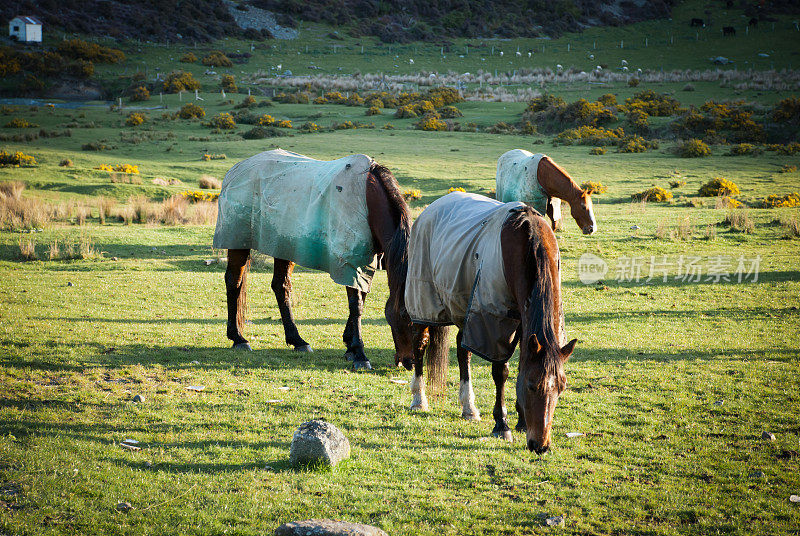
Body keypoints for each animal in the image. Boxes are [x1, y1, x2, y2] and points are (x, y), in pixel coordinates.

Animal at [212, 149, 412, 370]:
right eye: (405, 316)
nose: (409, 362)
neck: (367, 198)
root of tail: (236, 169)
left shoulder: (366, 262)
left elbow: (361, 299)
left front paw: (349, 346)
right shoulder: (350, 261)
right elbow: (356, 305)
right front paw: (359, 353)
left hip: (284, 246)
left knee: (280, 286)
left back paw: (297, 340)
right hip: (237, 242)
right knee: (234, 282)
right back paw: (238, 338)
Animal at [406, 193, 576, 452]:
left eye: (561, 387)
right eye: (531, 386)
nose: (541, 445)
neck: (526, 245)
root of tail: (431, 209)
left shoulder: (521, 322)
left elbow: (520, 363)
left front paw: (521, 421)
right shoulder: (494, 320)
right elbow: (501, 372)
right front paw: (502, 424)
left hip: (463, 305)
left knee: (462, 352)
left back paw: (469, 408)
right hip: (424, 301)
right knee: (420, 343)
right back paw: (418, 399)